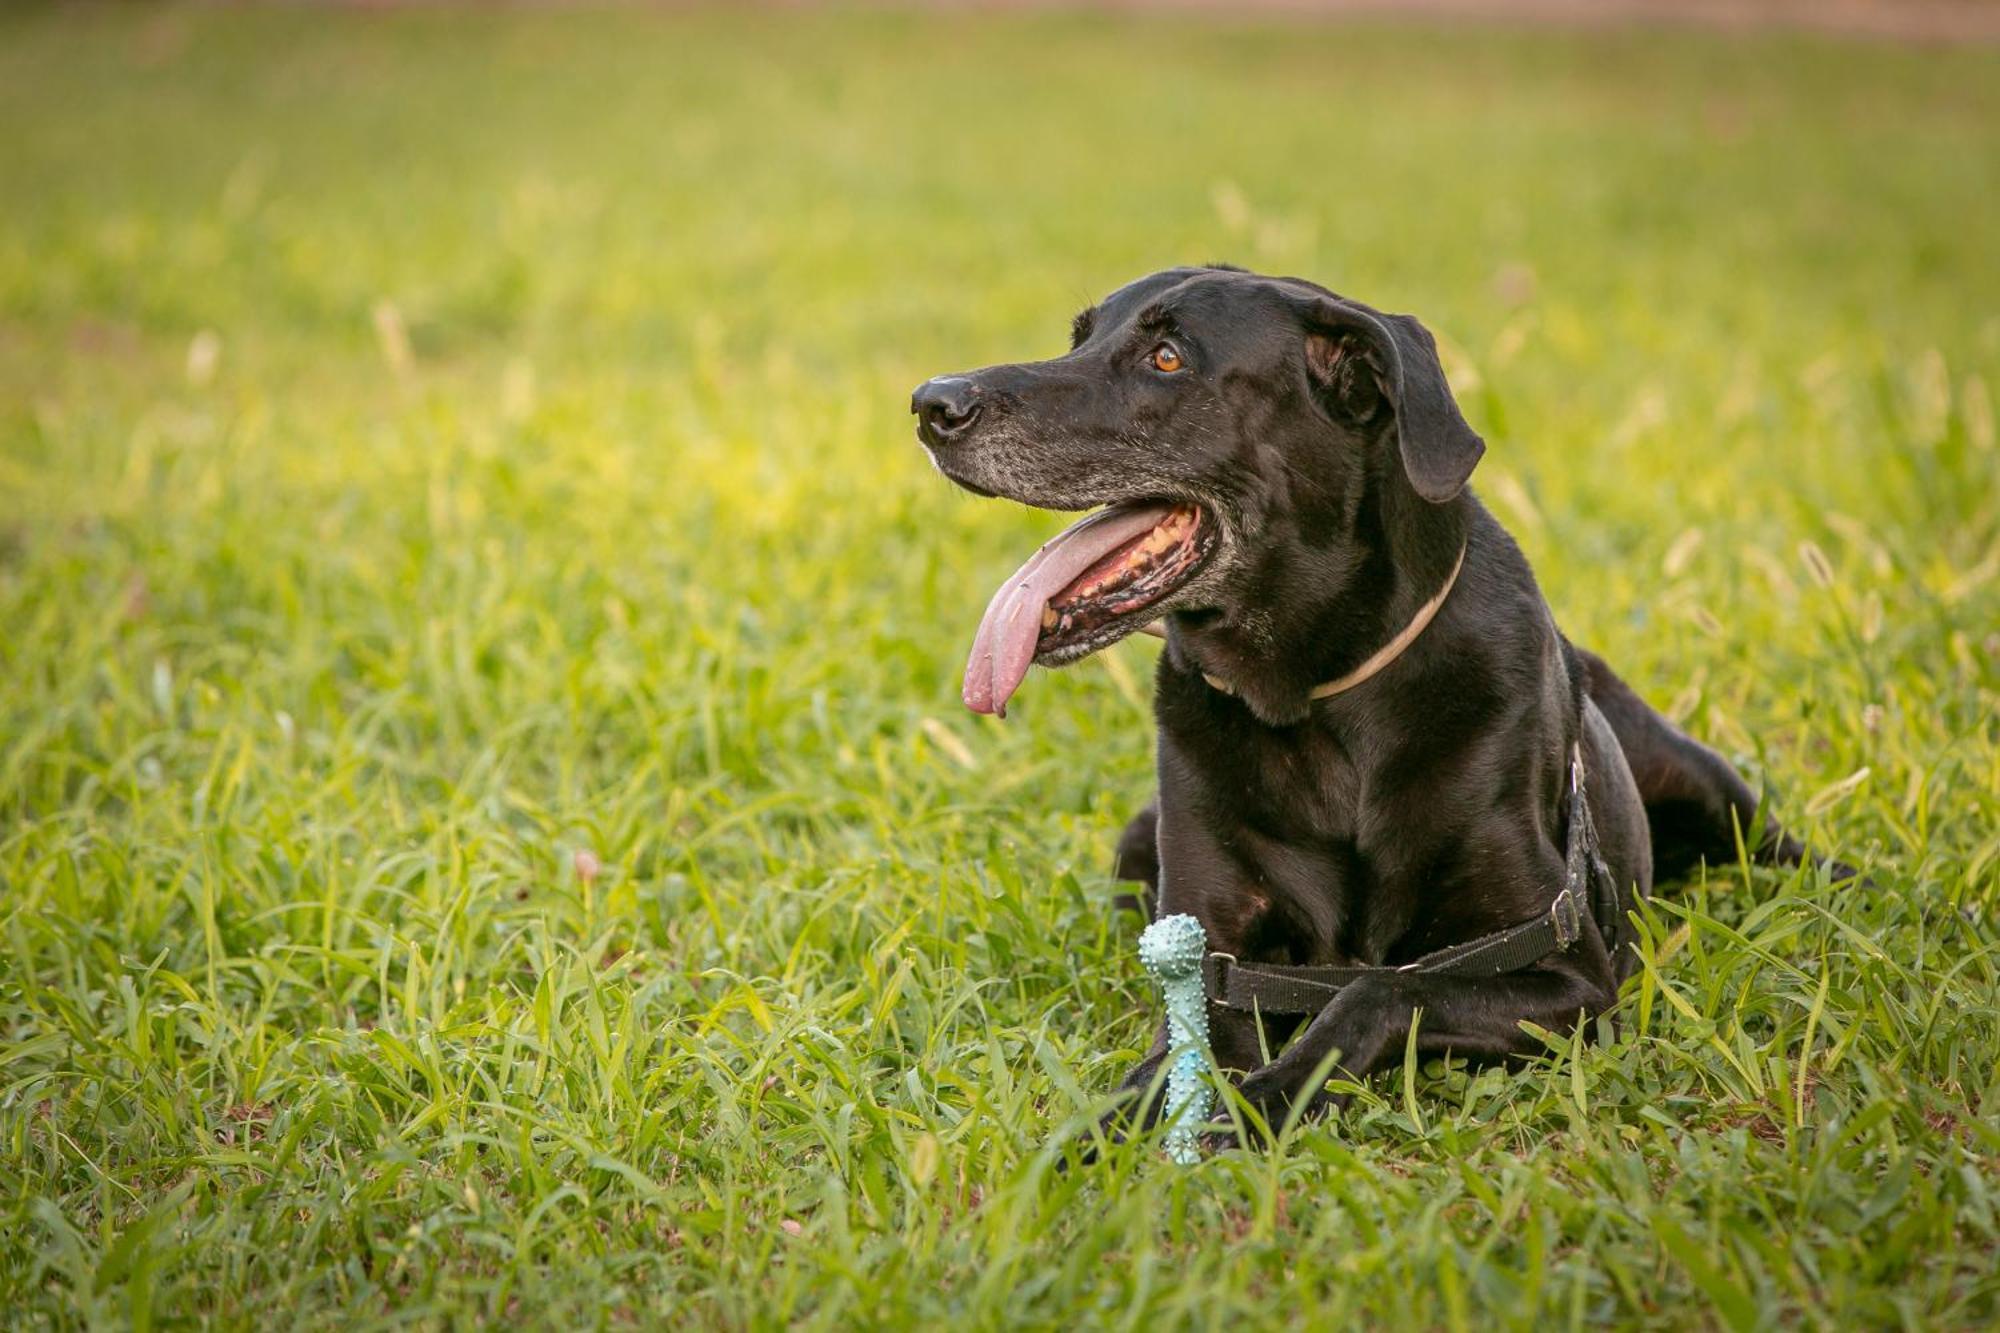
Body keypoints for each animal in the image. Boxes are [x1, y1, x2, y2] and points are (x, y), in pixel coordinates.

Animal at [916, 268, 1832, 1128]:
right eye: (1080, 338)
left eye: (1167, 358)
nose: (931, 404)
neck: (1315, 698)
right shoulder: (1212, 957)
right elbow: (1181, 1060)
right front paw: (1110, 1129)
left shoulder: (1567, 973)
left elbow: (1382, 990)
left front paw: (1265, 1102)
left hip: (1704, 788)